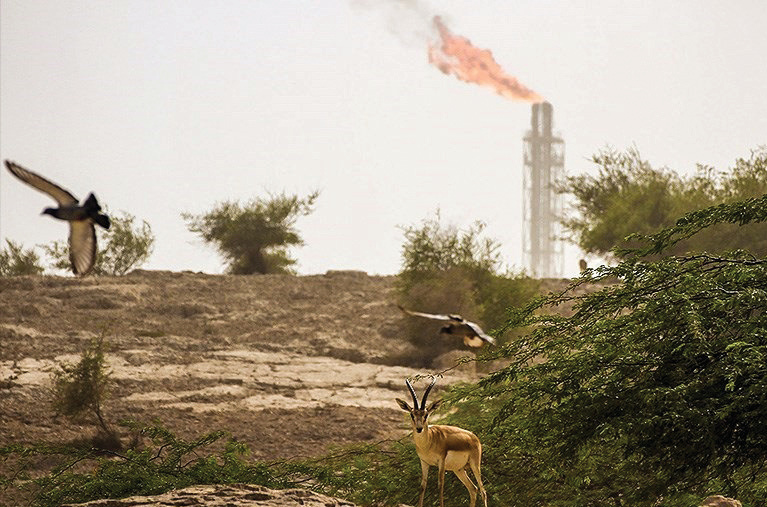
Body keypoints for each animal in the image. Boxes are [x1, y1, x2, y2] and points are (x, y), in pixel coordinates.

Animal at [396, 377, 488, 507]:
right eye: (412, 414)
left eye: (426, 414)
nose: (419, 428)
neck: (429, 441)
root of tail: (474, 437)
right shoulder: (424, 462)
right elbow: (422, 486)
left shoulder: (441, 461)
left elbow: (440, 485)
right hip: (458, 469)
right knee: (473, 489)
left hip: (475, 465)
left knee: (483, 491)